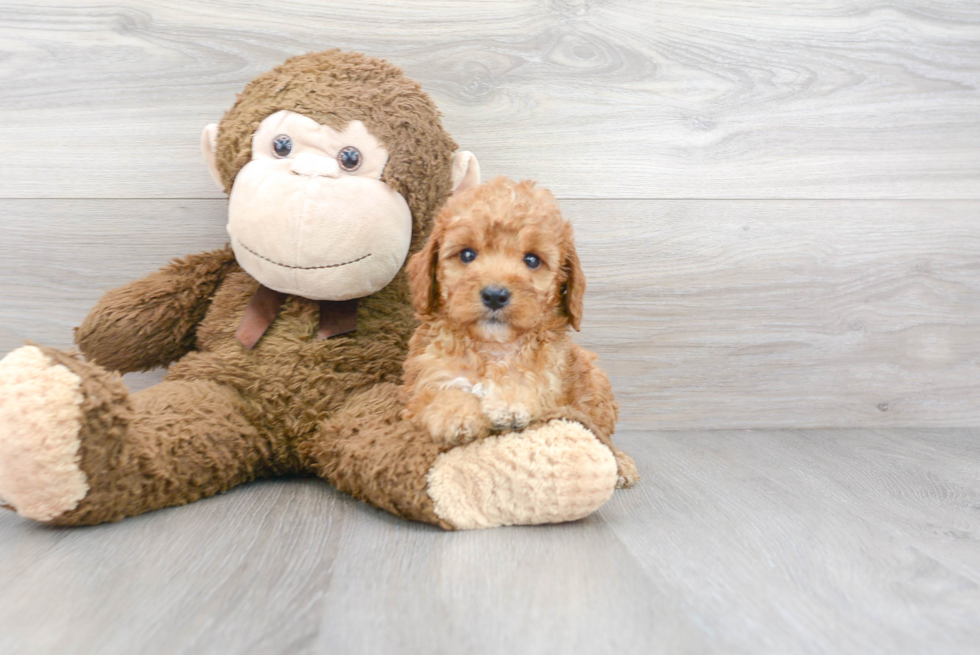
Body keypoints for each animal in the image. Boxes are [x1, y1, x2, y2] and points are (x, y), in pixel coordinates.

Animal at [402, 177, 640, 490]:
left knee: (601, 434)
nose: (495, 295)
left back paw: (622, 463)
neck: (494, 347)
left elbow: (526, 385)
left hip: (595, 382)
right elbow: (437, 394)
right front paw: (455, 414)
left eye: (532, 260)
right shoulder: (423, 382)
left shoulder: (549, 380)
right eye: (467, 254)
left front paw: (508, 403)